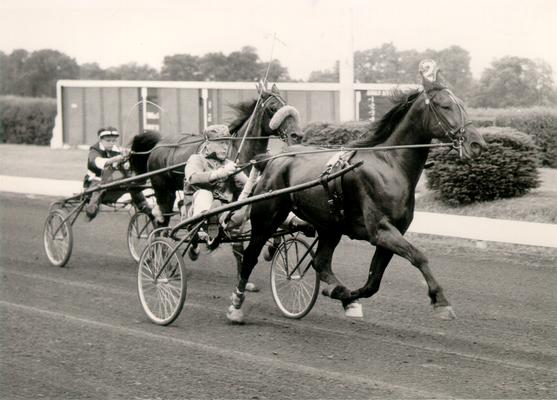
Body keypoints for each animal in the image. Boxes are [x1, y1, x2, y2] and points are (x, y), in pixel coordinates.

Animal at [226, 60, 486, 322]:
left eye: (462, 105)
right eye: (445, 106)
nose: (477, 144)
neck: (389, 164)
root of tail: (271, 160)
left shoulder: (392, 232)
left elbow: (373, 282)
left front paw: (345, 296)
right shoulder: (380, 230)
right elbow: (418, 256)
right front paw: (440, 301)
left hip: (329, 226)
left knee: (321, 263)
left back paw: (339, 292)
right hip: (266, 217)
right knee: (249, 256)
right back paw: (236, 304)